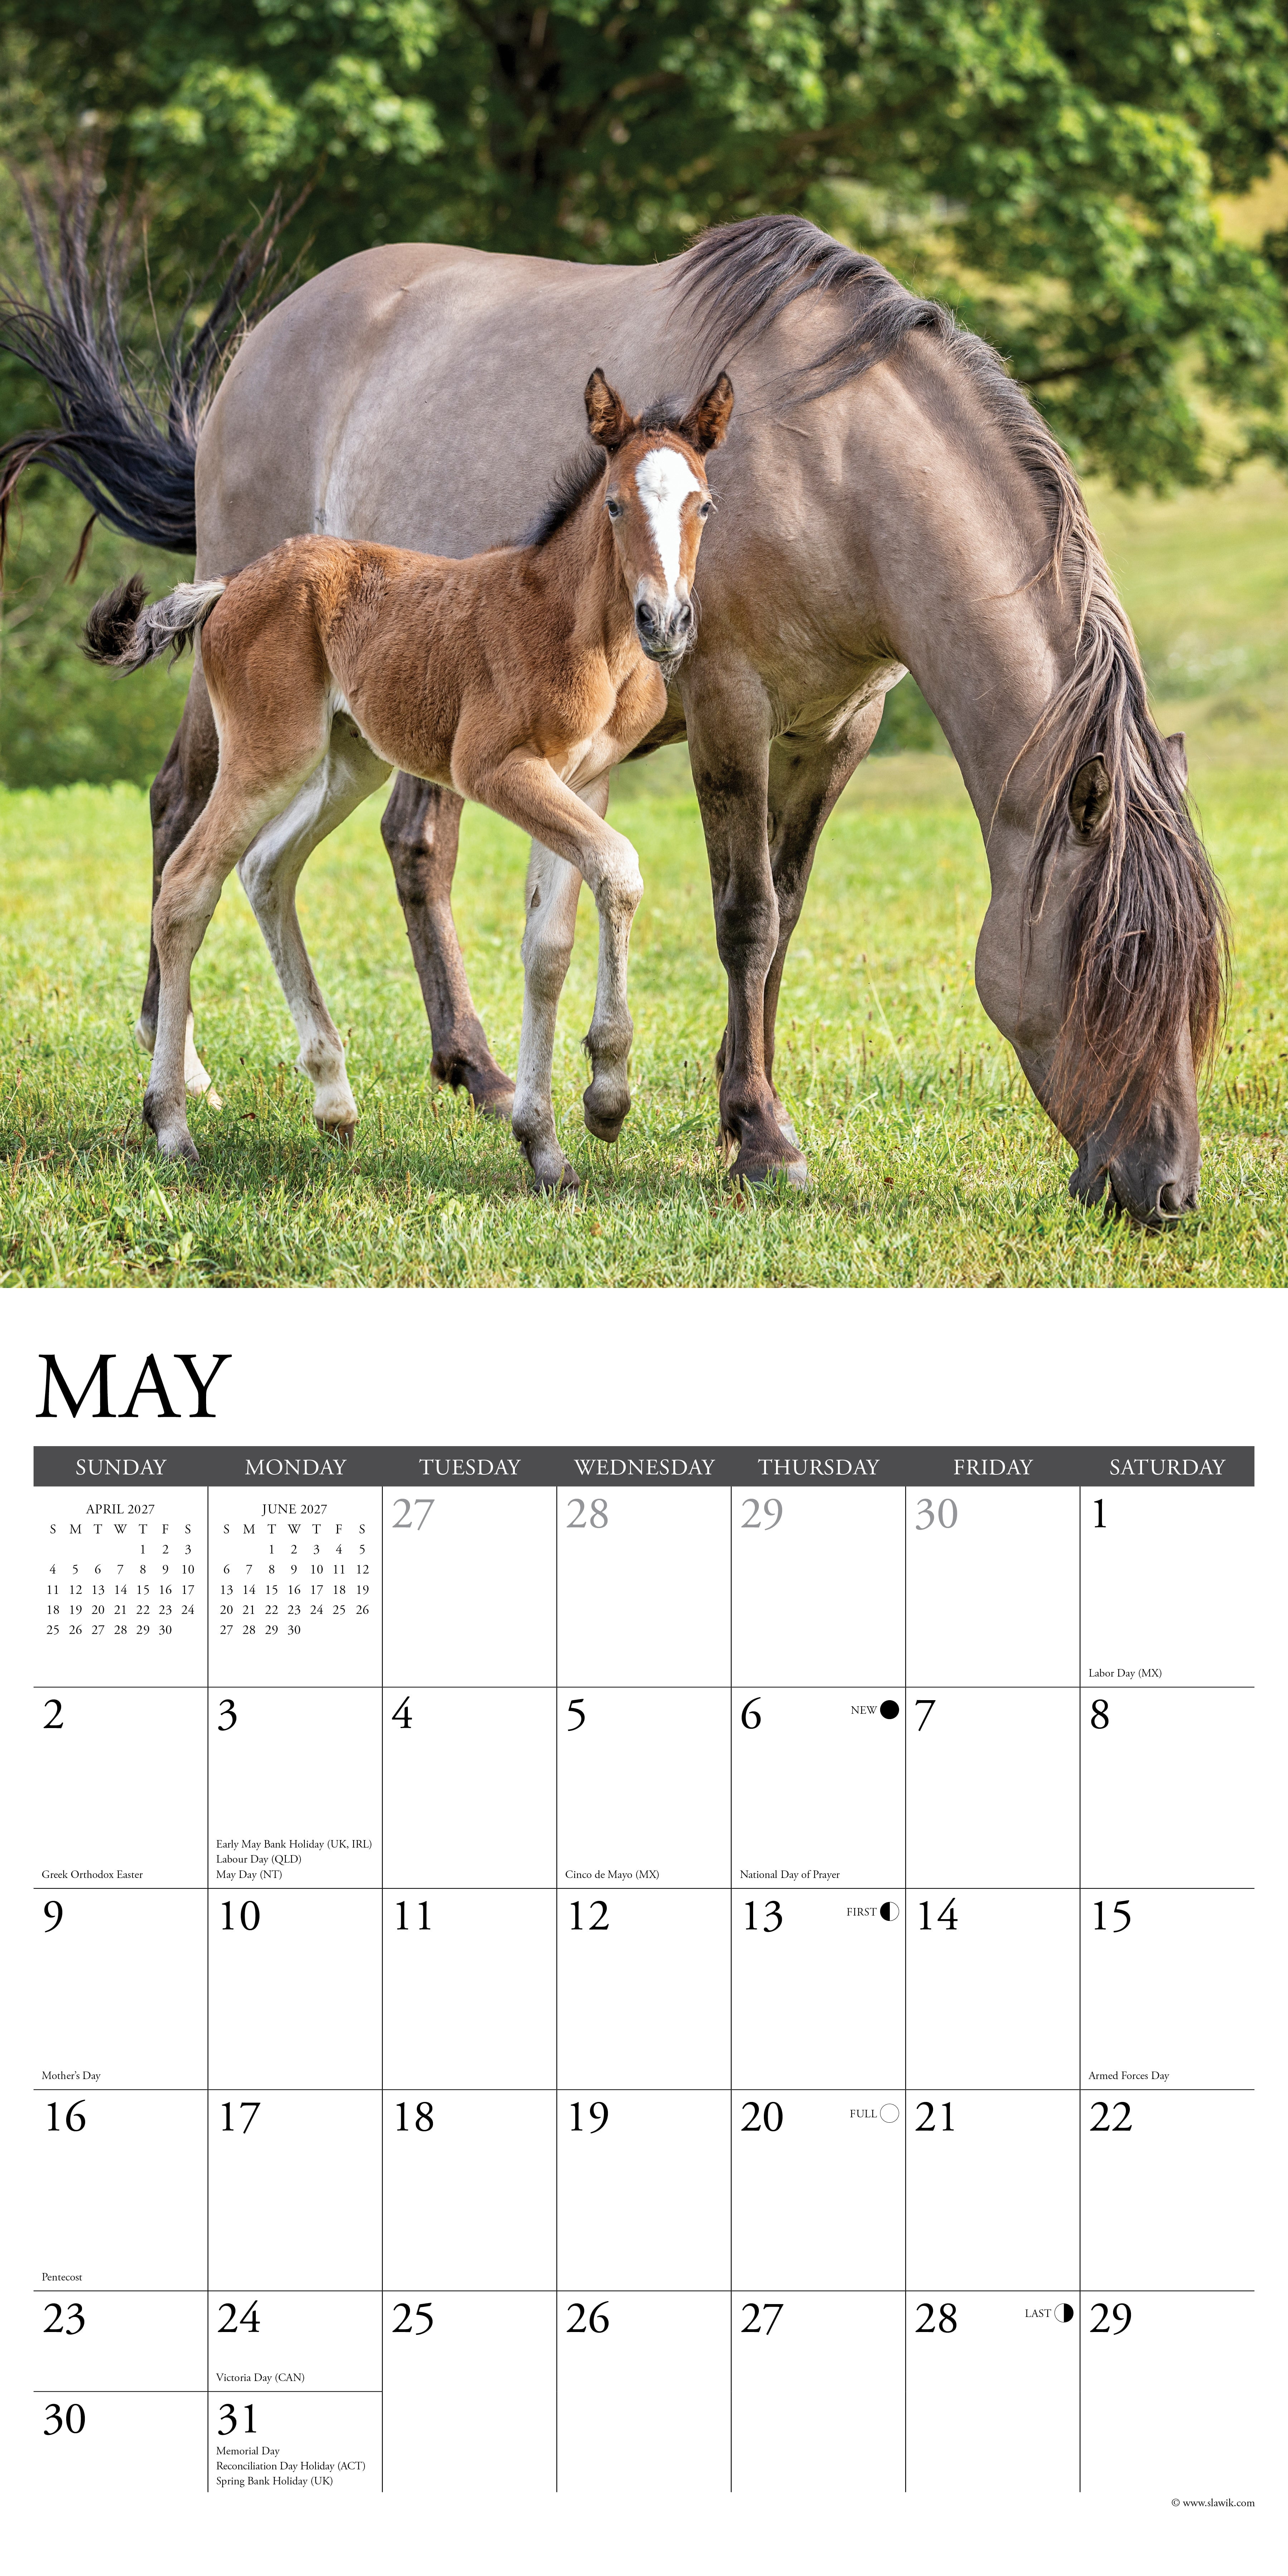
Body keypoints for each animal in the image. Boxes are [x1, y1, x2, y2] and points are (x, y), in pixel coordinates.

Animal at [81, 370, 732, 1181]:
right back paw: (171, 1123)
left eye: (703, 505)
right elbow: (620, 867)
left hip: (348, 758)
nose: (666, 622)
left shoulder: (585, 781)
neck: (582, 632)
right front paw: (606, 1099)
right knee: (187, 884)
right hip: (270, 754)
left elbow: (548, 947)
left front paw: (546, 1146)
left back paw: (333, 1098)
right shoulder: (495, 769)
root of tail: (230, 584)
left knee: (266, 869)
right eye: (615, 504)